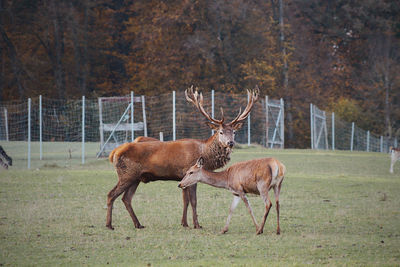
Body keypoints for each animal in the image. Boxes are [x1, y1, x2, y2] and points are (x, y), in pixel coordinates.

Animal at [105, 86, 260, 230]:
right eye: (220, 132)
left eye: (233, 132)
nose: (230, 143)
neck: (205, 154)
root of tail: (114, 153)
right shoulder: (189, 171)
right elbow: (193, 201)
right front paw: (197, 224)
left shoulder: (183, 177)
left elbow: (185, 201)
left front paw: (184, 223)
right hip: (126, 175)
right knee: (111, 194)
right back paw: (109, 225)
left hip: (136, 177)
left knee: (126, 198)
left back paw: (138, 224)